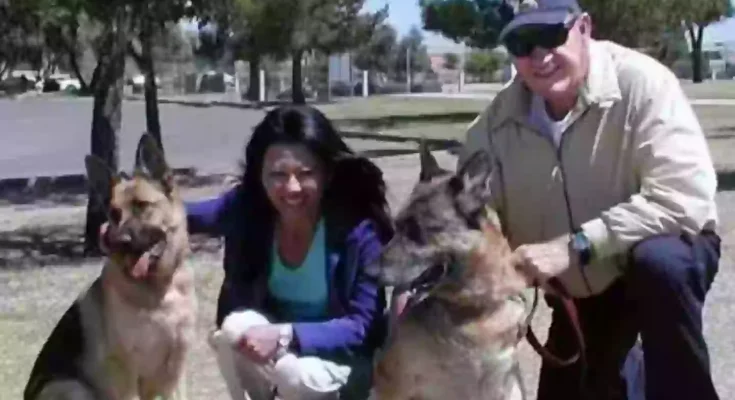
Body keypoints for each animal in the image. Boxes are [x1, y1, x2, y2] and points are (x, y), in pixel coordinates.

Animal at [24, 133, 197, 400]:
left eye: (141, 205)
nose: (121, 241)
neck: (157, 291)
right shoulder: (126, 373)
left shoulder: (175, 371)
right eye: (114, 214)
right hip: (72, 387)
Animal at [368, 142, 532, 400]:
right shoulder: (390, 380)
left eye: (417, 231)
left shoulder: (502, 387)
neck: (469, 310)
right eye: (397, 226)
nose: (367, 272)